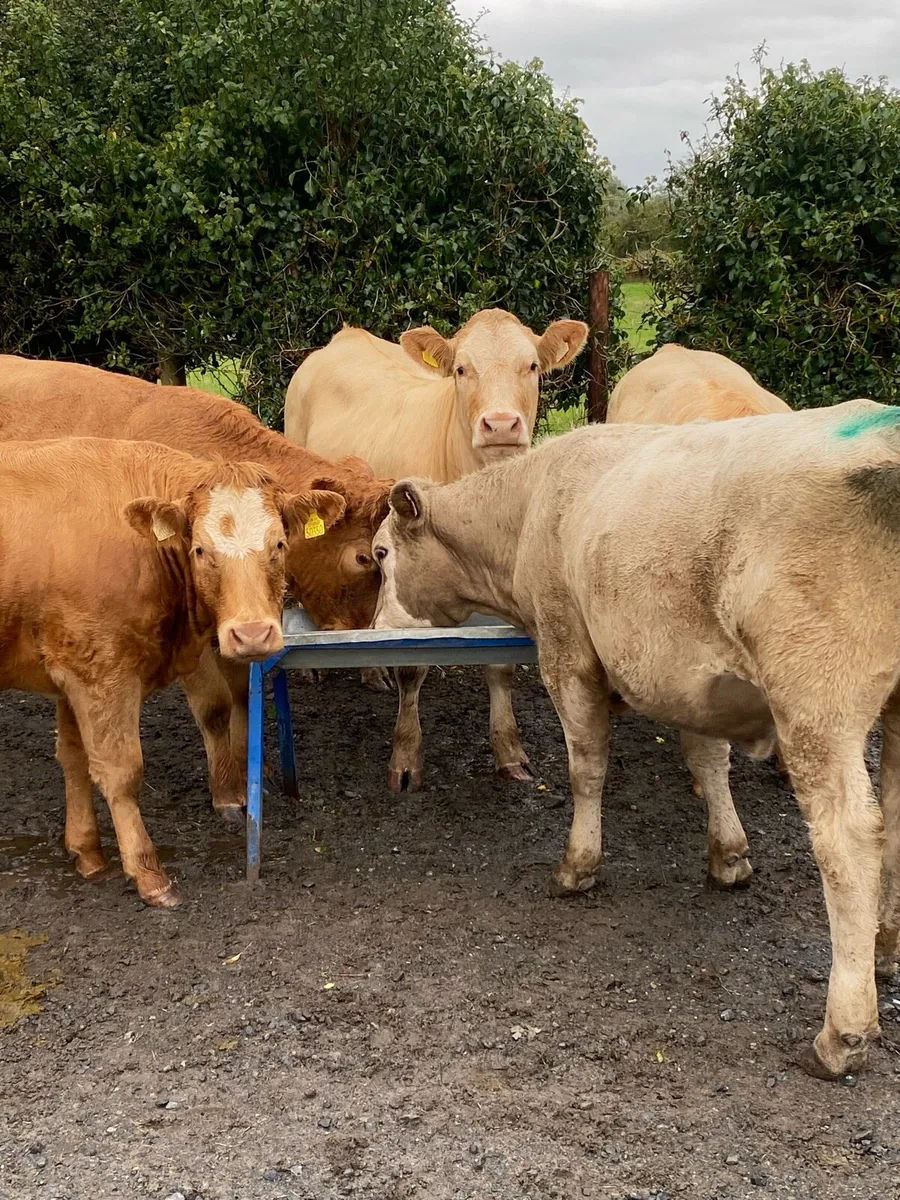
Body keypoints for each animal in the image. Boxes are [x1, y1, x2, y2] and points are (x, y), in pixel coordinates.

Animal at [0, 355, 394, 823]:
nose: (374, 642)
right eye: (364, 558)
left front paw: (252, 769)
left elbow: (243, 693)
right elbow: (215, 705)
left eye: (278, 544)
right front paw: (226, 791)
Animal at [0, 437, 344, 906]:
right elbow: (121, 772)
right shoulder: (103, 675)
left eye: (278, 544)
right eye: (200, 550)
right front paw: (147, 873)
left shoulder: (71, 667)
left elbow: (74, 758)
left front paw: (86, 852)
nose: (252, 633)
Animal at [285, 309, 588, 789]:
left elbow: (500, 664)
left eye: (532, 367)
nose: (500, 424)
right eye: (462, 370)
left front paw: (509, 751)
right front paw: (406, 759)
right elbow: (412, 665)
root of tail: (345, 336)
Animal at [371, 399, 900, 1080]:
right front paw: (729, 856)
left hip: (816, 701)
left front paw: (578, 865)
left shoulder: (567, 651)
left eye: (381, 552)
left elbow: (587, 768)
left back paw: (843, 1032)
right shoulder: (688, 673)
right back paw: (885, 947)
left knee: (849, 841)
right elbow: (708, 759)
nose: (375, 634)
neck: (532, 506)